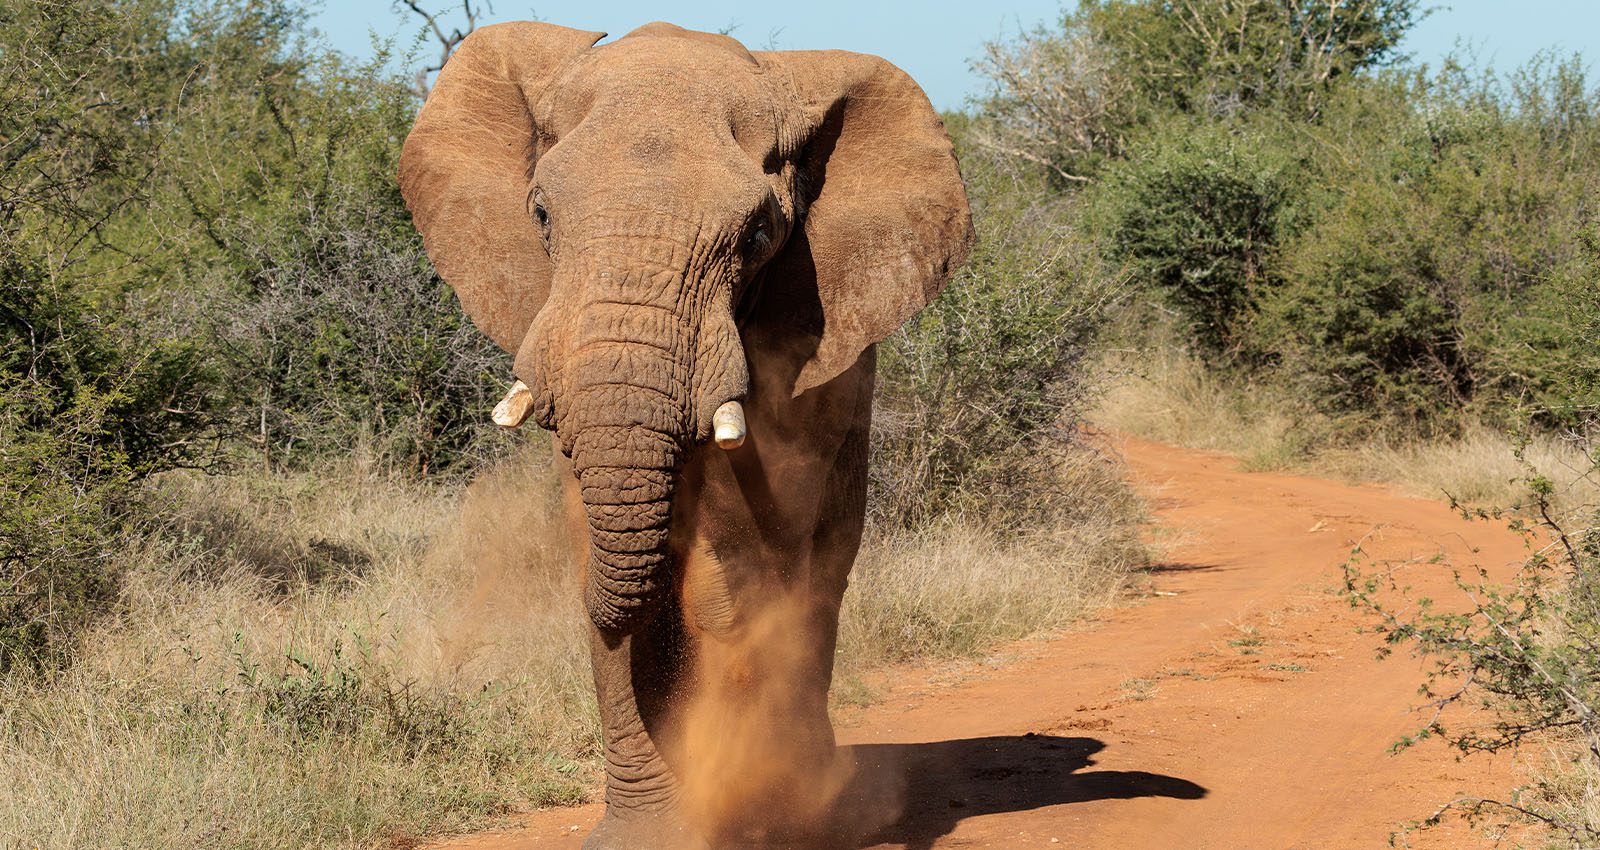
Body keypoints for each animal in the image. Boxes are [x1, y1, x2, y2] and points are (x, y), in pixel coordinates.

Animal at [398, 20, 973, 849]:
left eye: (759, 234)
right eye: (540, 216)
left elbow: (736, 558)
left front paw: (750, 807)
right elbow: (608, 557)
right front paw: (644, 836)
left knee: (823, 567)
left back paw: (817, 800)